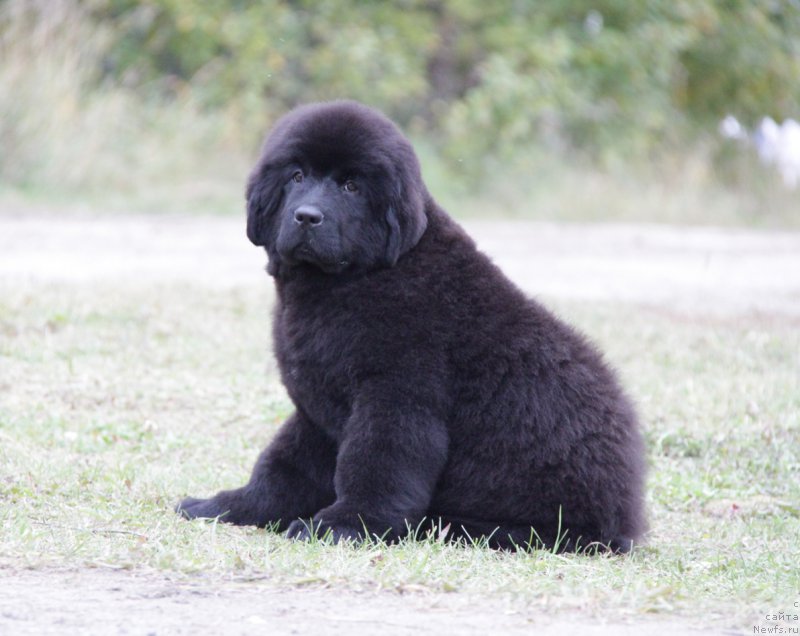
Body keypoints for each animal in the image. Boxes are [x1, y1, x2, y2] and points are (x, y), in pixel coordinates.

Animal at [178, 99, 648, 552]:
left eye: (351, 186)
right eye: (296, 176)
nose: (307, 216)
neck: (356, 279)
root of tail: (623, 521)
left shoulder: (397, 396)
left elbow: (376, 463)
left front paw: (345, 526)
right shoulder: (319, 410)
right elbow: (283, 465)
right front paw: (226, 505)